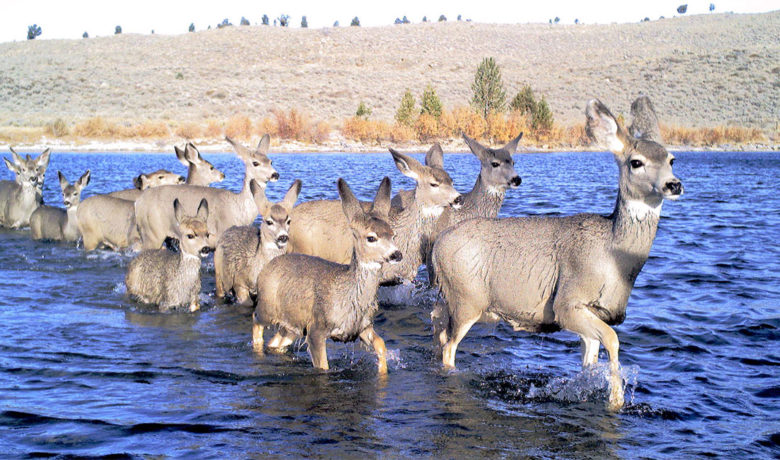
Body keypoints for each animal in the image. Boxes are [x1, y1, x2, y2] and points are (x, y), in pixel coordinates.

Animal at [134, 135, 278, 249]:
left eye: (271, 161)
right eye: (255, 163)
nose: (275, 174)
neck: (239, 208)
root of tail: (138, 202)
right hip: (153, 234)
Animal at [252, 177, 402, 374]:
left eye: (393, 235)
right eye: (371, 238)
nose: (396, 254)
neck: (347, 297)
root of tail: (267, 266)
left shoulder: (362, 327)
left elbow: (381, 344)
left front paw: (383, 371)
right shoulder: (316, 328)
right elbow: (323, 366)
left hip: (293, 324)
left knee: (276, 341)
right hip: (267, 308)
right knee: (255, 320)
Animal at [430, 97, 683, 412]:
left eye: (672, 159)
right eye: (636, 162)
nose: (674, 185)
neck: (615, 257)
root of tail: (437, 246)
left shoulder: (592, 312)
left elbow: (590, 360)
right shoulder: (567, 302)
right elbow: (612, 339)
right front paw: (616, 400)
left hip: (451, 299)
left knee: (439, 331)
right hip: (467, 300)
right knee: (449, 347)